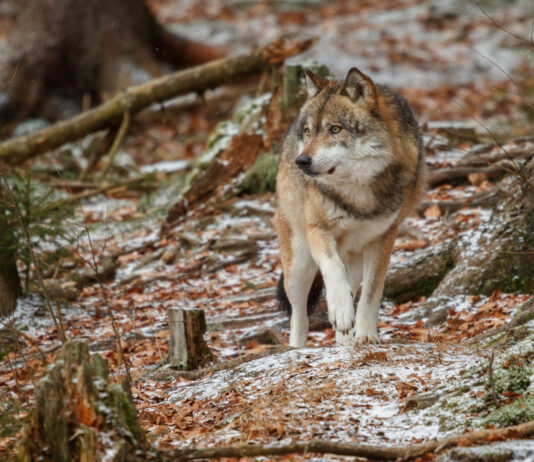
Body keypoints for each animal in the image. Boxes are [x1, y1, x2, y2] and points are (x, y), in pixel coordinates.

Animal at [274, 67, 426, 346]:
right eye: (309, 131)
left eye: (335, 129)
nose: (301, 161)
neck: (357, 194)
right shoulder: (317, 229)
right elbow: (333, 269)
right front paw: (342, 311)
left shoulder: (384, 237)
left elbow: (372, 291)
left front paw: (365, 335)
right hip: (299, 263)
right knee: (299, 316)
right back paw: (297, 347)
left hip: (352, 258)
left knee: (350, 291)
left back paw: (344, 341)